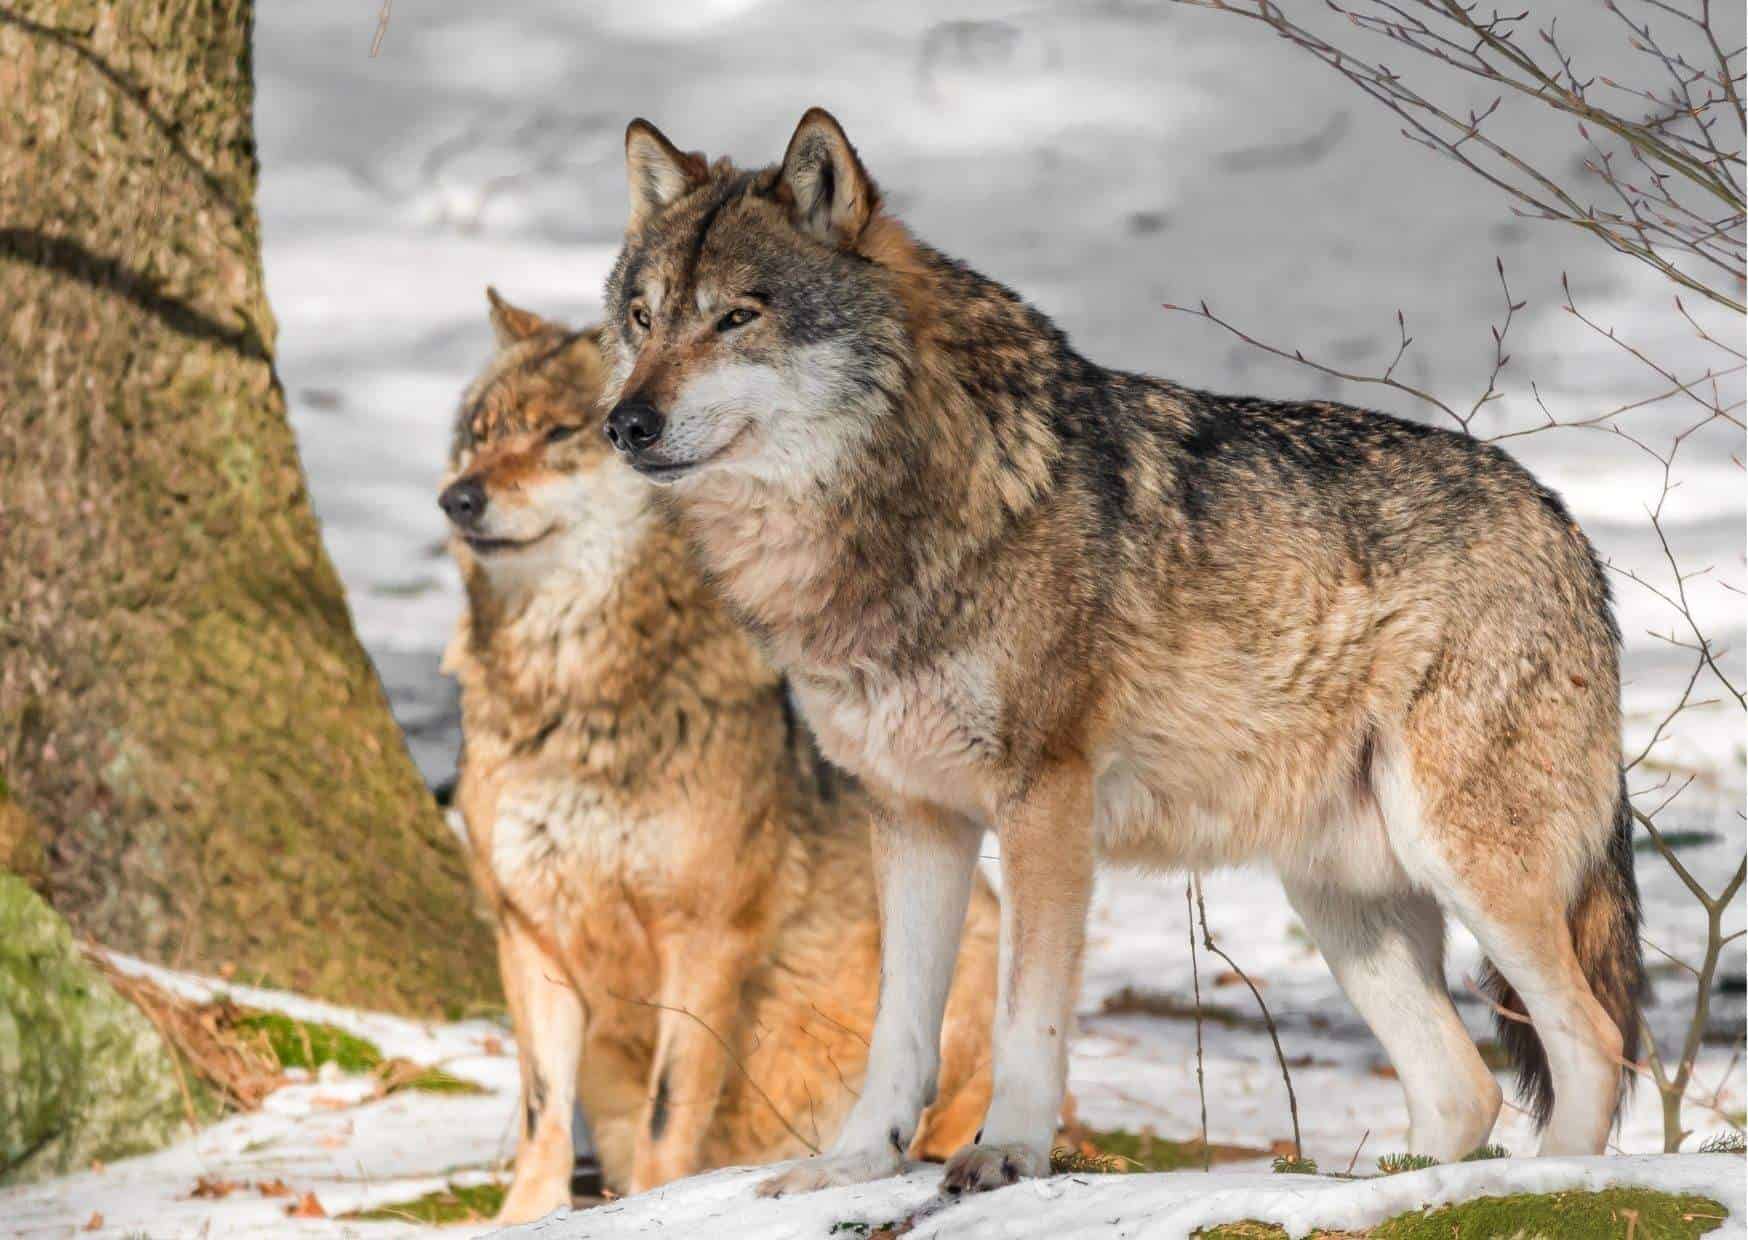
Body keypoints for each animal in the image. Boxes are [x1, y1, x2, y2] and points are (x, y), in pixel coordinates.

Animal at [438, 289, 998, 1221]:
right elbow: (542, 1107)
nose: (456, 499)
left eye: (559, 434)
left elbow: (670, 1111)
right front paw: (525, 1217)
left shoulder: (703, 937)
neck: (572, 701)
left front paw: (653, 1206)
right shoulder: (528, 928)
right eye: (479, 434)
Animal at [589, 109, 1645, 1196]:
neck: (893, 521)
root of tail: (1566, 527)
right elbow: (898, 1030)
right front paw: (852, 1164)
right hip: (1338, 899)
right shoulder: (913, 817)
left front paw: (1007, 1151)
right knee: (1463, 1087)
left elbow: (1027, 1016)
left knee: (1593, 1044)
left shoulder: (1043, 799)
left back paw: (1547, 1187)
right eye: (643, 316)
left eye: (736, 317)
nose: (625, 423)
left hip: (1467, 865)